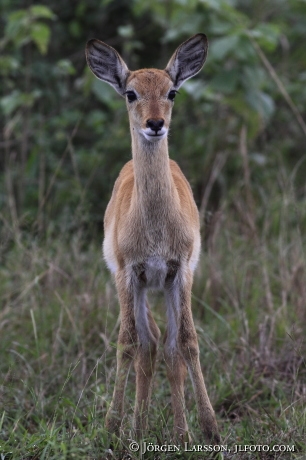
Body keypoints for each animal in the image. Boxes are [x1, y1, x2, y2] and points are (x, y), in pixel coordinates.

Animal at [85, 34, 220, 444]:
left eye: (171, 91)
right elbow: (127, 344)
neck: (157, 229)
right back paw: (137, 426)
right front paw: (112, 427)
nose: (155, 124)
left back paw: (167, 430)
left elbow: (187, 344)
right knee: (147, 345)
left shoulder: (181, 272)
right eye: (131, 93)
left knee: (167, 345)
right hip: (137, 287)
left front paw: (205, 430)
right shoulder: (130, 273)